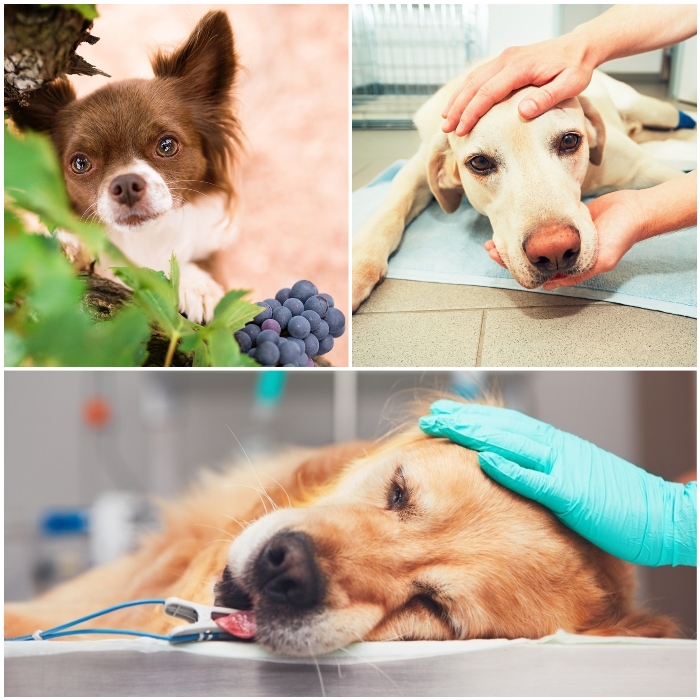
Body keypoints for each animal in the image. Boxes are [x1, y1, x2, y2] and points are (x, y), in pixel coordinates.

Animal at [356, 70, 688, 308]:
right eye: (479, 162)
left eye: (570, 140)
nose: (554, 250)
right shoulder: (417, 166)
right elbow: (391, 209)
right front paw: (358, 268)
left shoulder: (648, 168)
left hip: (653, 110)